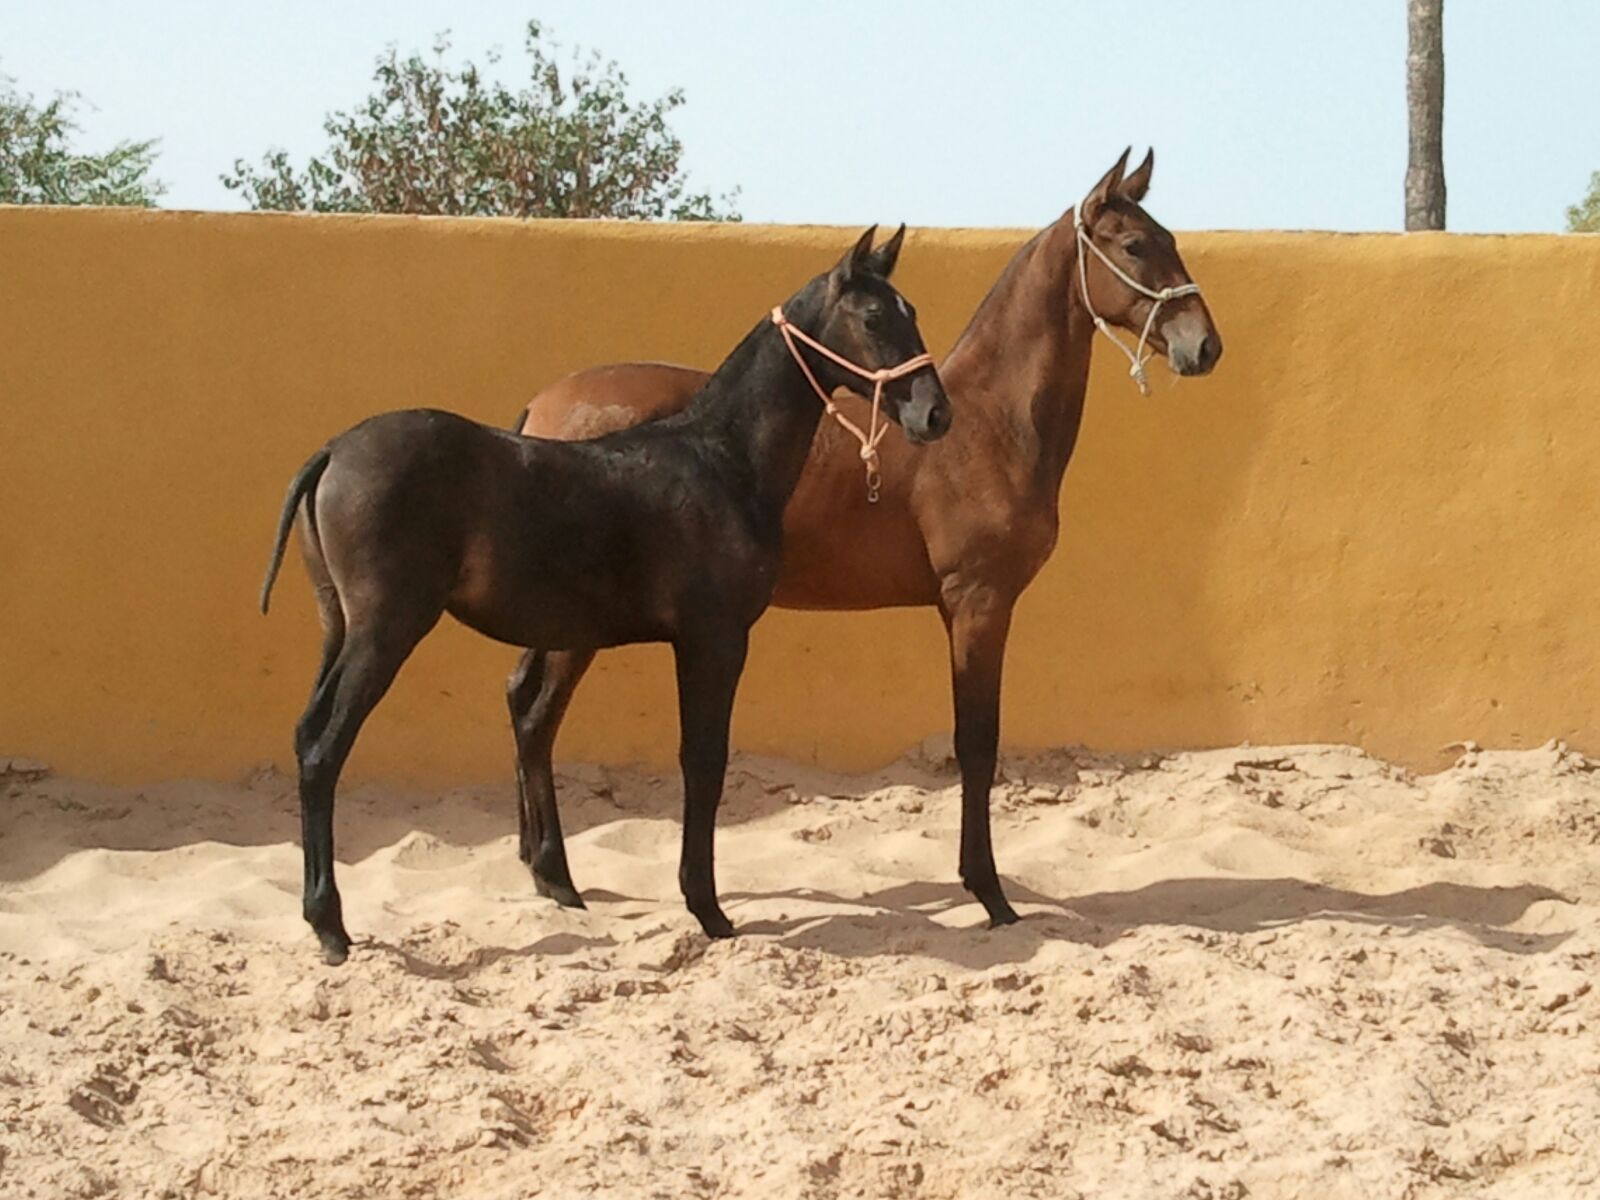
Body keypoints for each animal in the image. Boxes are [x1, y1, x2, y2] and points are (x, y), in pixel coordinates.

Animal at [262, 227, 947, 966]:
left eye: (910, 310)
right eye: (874, 318)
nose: (935, 413)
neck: (722, 459)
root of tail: (333, 451)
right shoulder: (714, 638)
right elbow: (703, 761)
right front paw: (708, 909)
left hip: (344, 626)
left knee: (320, 733)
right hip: (386, 630)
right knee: (325, 748)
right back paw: (330, 924)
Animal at [512, 148, 1222, 928]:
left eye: (1169, 239)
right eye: (1135, 246)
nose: (1204, 345)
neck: (991, 424)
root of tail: (542, 405)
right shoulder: (977, 603)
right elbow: (977, 745)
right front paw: (990, 893)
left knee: (522, 700)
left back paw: (538, 867)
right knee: (539, 714)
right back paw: (557, 876)